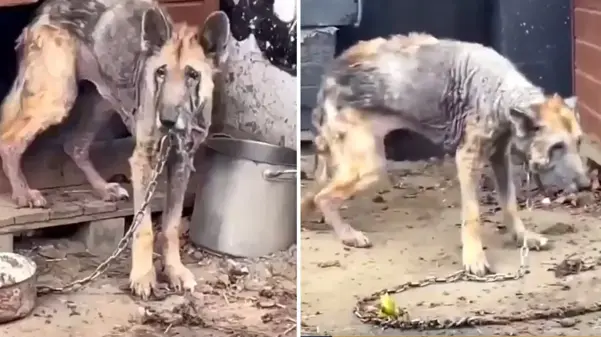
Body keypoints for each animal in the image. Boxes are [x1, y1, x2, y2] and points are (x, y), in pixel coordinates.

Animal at [0, 0, 230, 300]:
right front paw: (143, 277)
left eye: (193, 75)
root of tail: (47, 7)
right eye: (161, 72)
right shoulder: (144, 161)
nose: (167, 120)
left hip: (102, 101)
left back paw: (103, 188)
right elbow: (144, 228)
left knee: (75, 145)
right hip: (57, 97)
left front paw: (175, 271)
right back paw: (23, 193)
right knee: (9, 140)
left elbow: (170, 226)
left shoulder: (182, 162)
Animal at [302, 32, 588, 276]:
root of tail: (330, 75)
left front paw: (522, 237)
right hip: (369, 168)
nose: (587, 185)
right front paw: (474, 257)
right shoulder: (468, 160)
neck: (501, 92)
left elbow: (509, 205)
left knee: (314, 195)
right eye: (557, 146)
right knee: (323, 197)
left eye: (578, 142)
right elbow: (472, 215)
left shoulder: (500, 159)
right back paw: (347, 234)